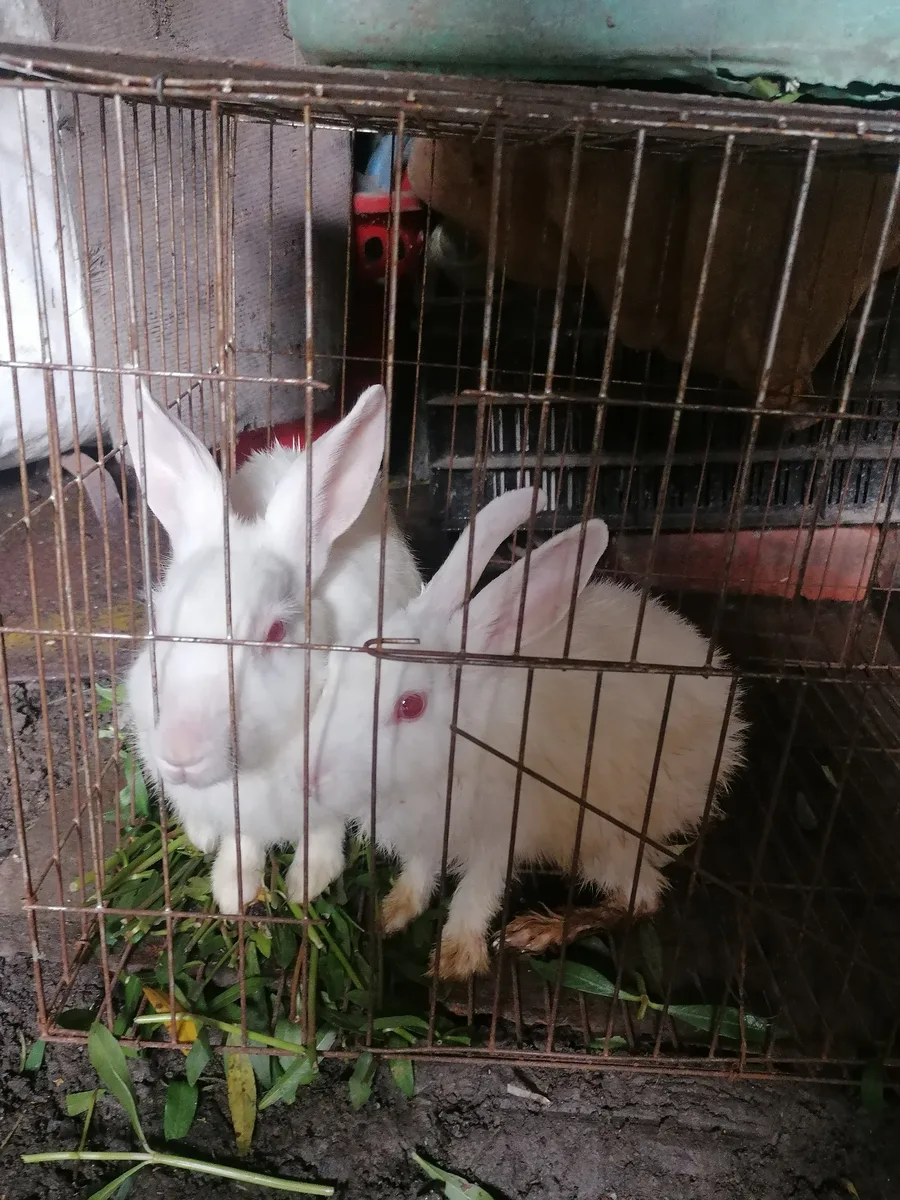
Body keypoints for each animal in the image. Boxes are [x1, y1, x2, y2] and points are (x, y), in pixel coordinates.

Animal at [122, 375, 422, 914]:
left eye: (276, 633)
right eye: (163, 621)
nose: (179, 752)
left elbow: (323, 828)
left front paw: (308, 881)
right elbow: (242, 840)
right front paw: (233, 889)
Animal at [307, 487, 748, 980]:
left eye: (410, 705)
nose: (311, 775)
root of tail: (729, 709)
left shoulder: (500, 832)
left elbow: (477, 891)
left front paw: (455, 960)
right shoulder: (427, 834)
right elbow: (420, 873)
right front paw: (391, 914)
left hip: (604, 833)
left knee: (641, 897)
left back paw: (537, 931)